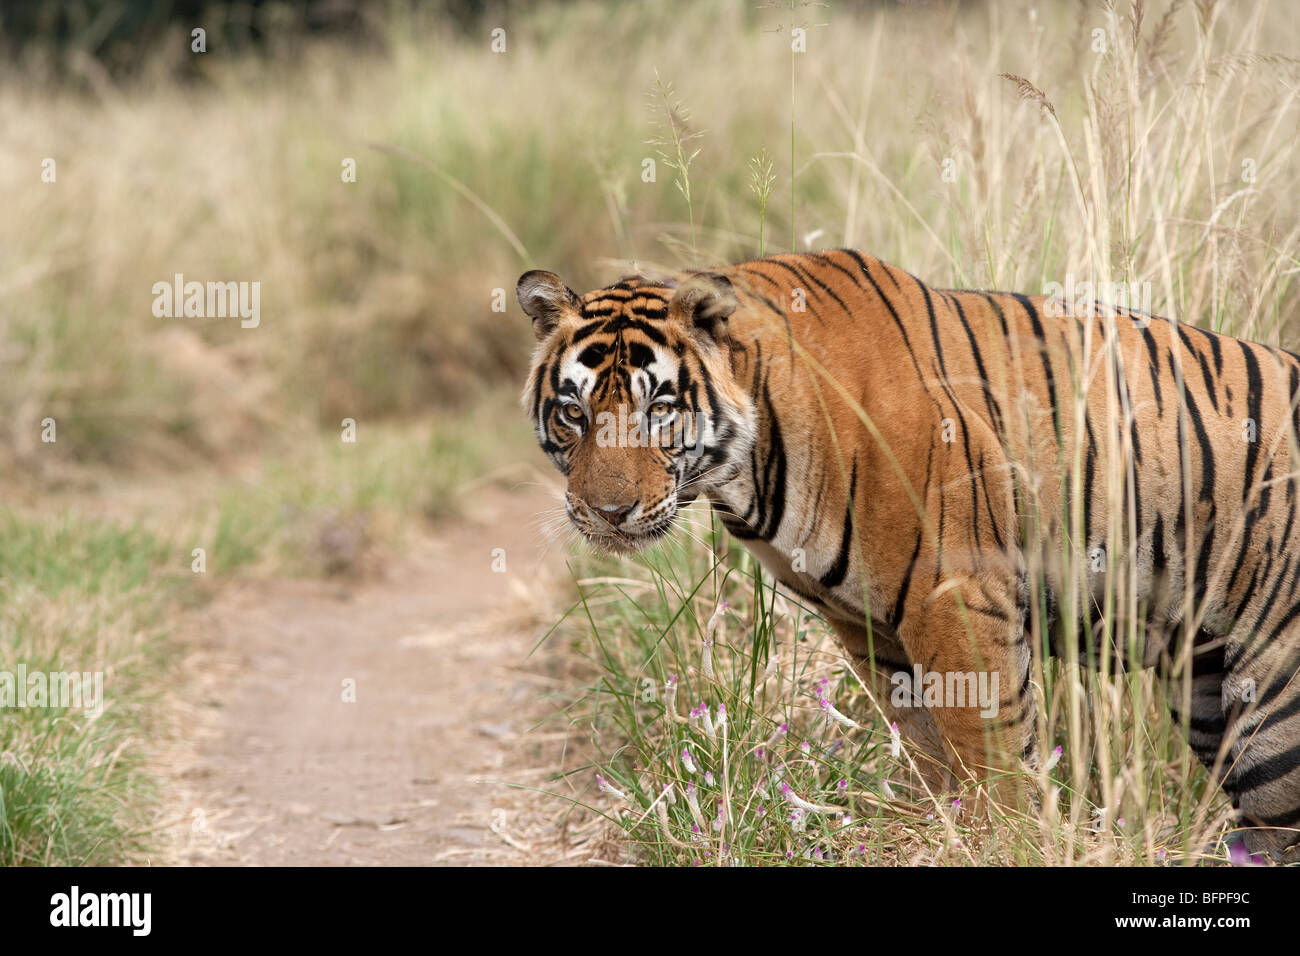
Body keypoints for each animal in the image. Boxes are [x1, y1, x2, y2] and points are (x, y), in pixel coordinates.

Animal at [517, 248, 1300, 858]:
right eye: (574, 412)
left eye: (659, 409)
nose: (608, 513)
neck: (750, 465)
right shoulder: (870, 625)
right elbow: (927, 746)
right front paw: (943, 827)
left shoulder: (955, 595)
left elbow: (991, 752)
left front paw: (1003, 842)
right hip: (1208, 692)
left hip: (1275, 716)